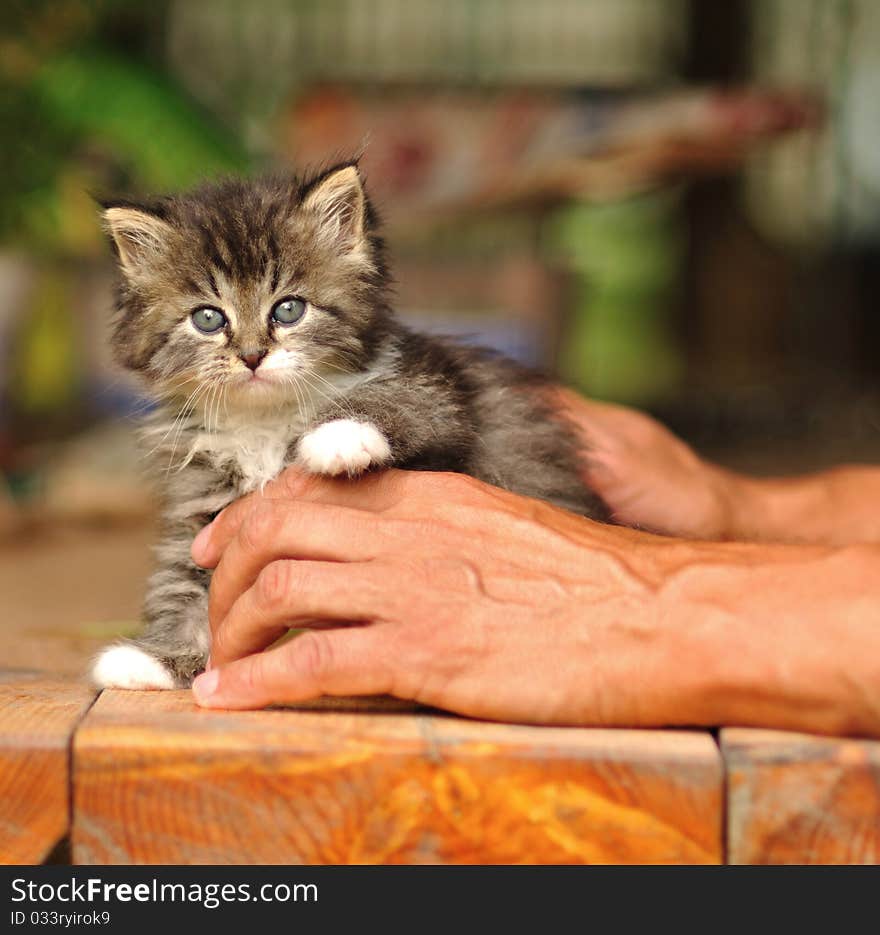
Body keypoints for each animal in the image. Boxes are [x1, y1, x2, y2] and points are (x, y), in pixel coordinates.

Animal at [93, 161, 608, 692]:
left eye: (288, 309)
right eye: (209, 319)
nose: (252, 356)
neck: (265, 419)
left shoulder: (441, 397)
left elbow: (392, 400)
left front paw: (338, 435)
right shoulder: (204, 506)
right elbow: (182, 579)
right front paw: (156, 658)